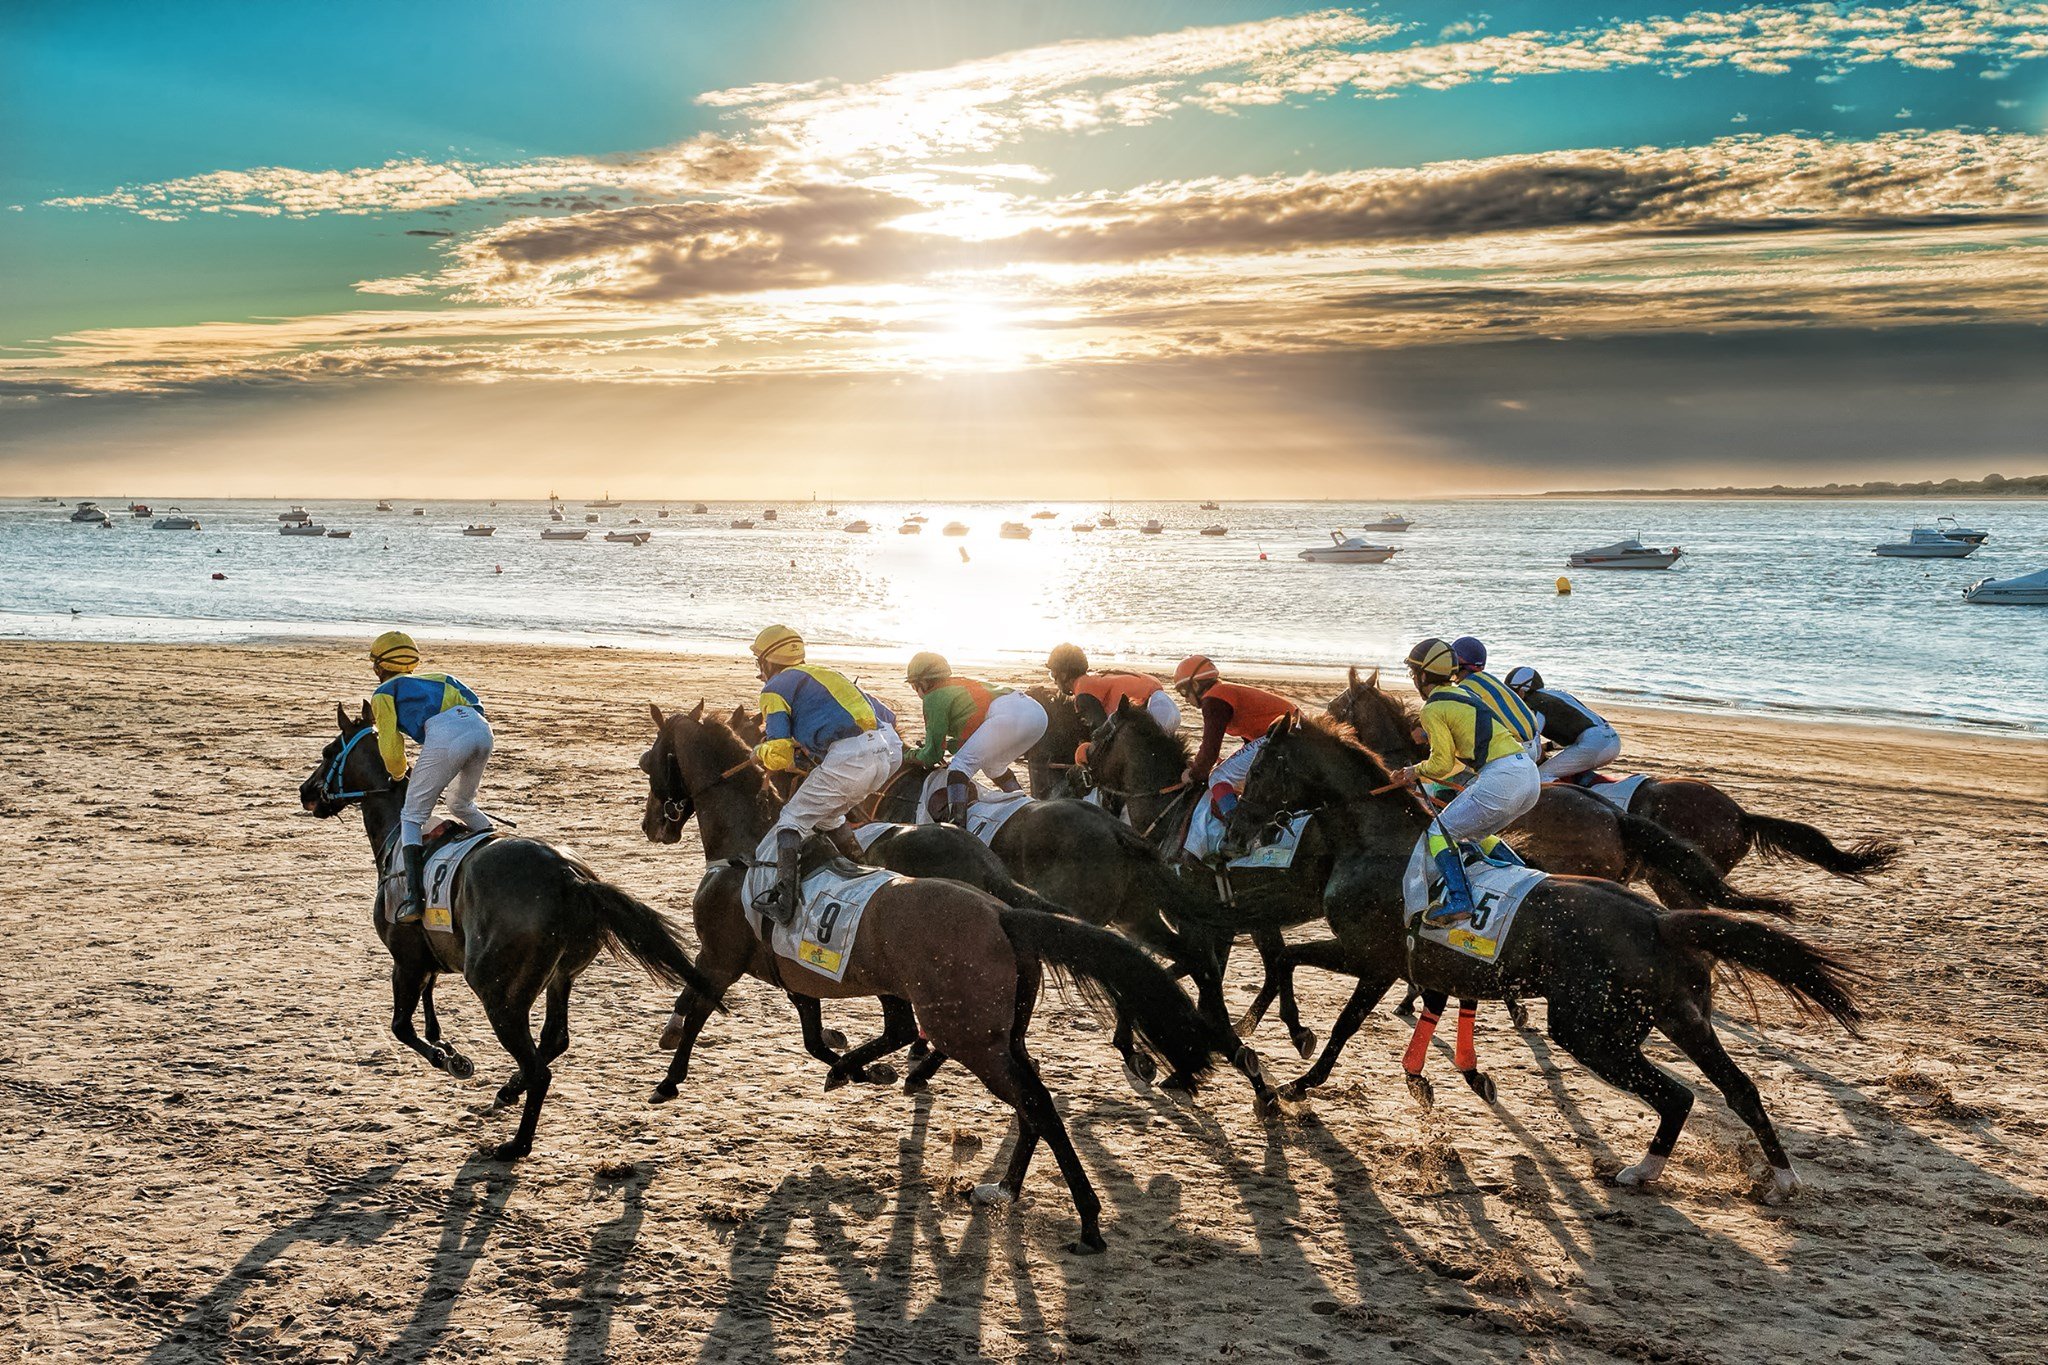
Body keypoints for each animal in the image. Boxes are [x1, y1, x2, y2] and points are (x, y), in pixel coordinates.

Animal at [299, 703, 716, 1162]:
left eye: (328, 751)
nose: (306, 792)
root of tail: (571, 878)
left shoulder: (404, 960)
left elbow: (401, 1027)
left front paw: (451, 1060)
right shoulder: (430, 958)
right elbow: (428, 1009)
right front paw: (448, 1047)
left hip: (497, 988)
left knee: (538, 1066)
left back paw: (516, 1143)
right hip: (560, 976)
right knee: (554, 1041)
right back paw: (509, 1091)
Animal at [634, 703, 1245, 1252]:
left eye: (650, 759)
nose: (652, 824)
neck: (748, 847)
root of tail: (1002, 913)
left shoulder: (720, 957)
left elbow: (698, 1006)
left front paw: (668, 1078)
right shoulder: (799, 976)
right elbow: (813, 1037)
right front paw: (854, 1066)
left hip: (973, 1032)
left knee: (1035, 1102)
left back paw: (1087, 1216)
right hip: (1016, 1016)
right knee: (1037, 1091)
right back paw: (1006, 1180)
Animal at [1228, 712, 1859, 1203]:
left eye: (1258, 770)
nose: (1234, 832)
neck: (1378, 841)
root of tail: (1661, 921)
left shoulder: (1374, 957)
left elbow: (1326, 1005)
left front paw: (1293, 1059)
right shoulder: (1428, 967)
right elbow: (1375, 1005)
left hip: (1590, 1028)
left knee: (1678, 1095)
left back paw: (1641, 1170)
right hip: (1680, 1017)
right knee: (1738, 1088)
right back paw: (1781, 1179)